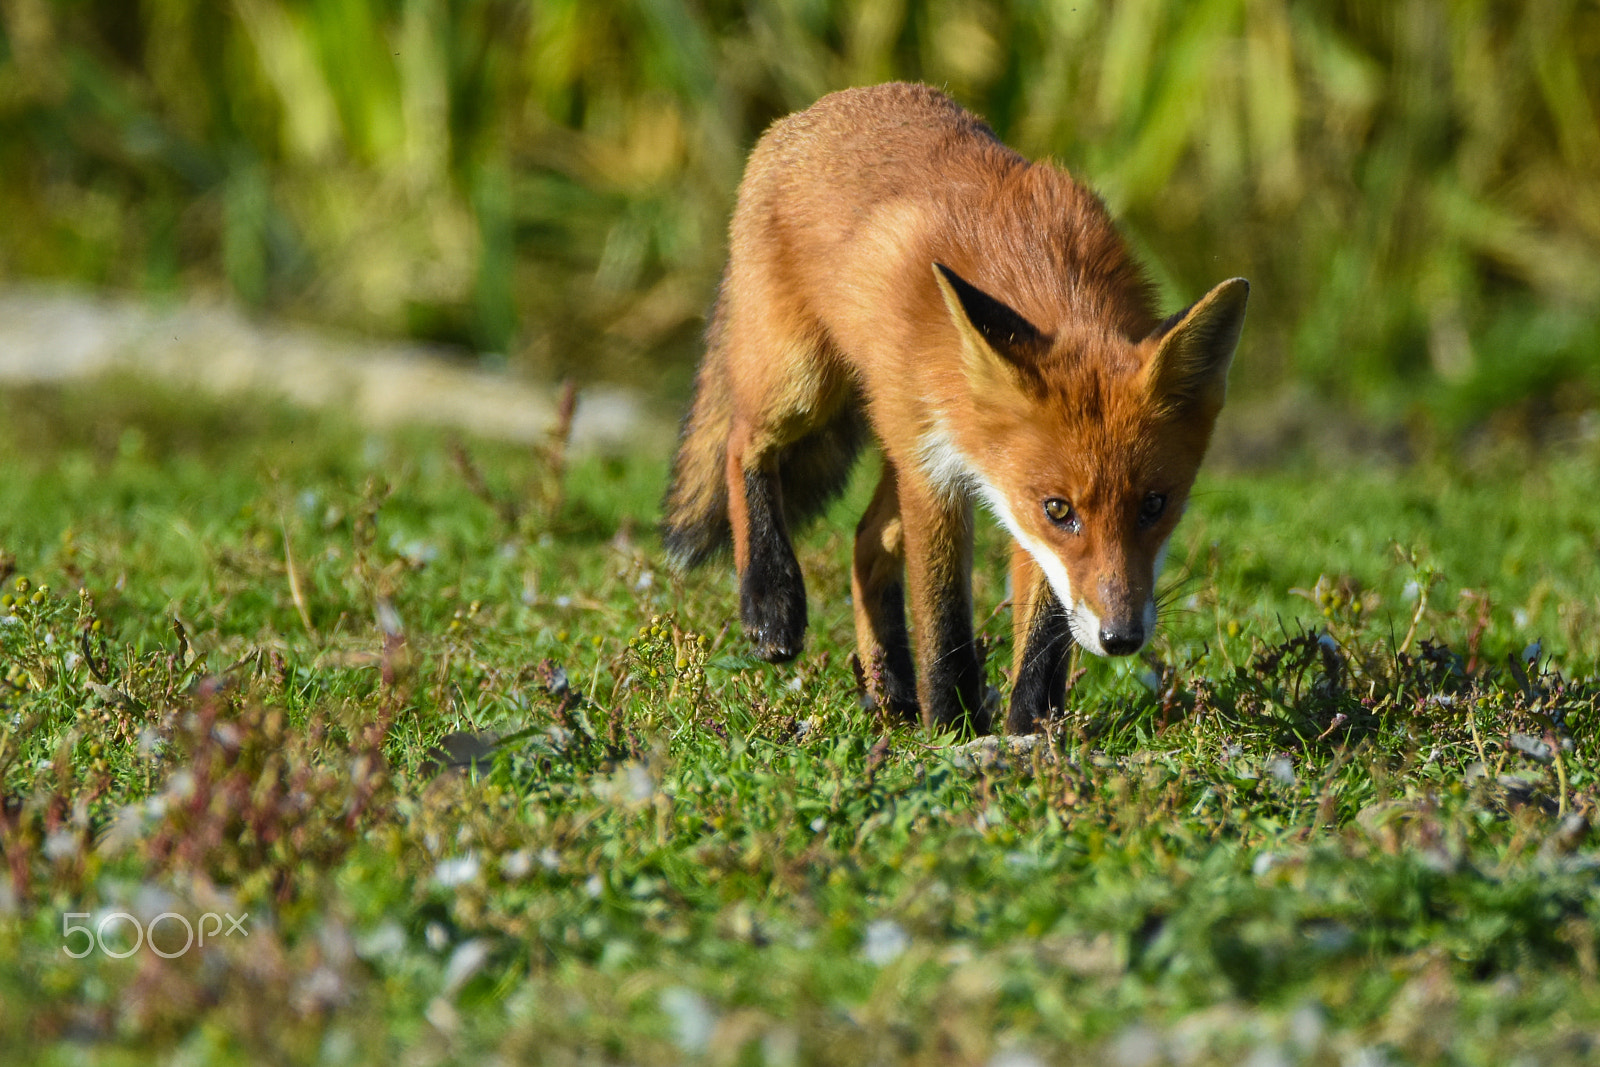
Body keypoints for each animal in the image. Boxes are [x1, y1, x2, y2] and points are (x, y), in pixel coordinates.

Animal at [656, 83, 1241, 739]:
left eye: (1154, 505)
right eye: (1060, 509)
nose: (1120, 639)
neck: (1040, 274)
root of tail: (814, 110)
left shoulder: (1010, 501)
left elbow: (1045, 631)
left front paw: (1033, 725)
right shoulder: (940, 475)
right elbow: (943, 618)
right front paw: (955, 723)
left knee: (866, 540)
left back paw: (889, 692)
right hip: (804, 386)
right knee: (743, 445)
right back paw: (771, 598)